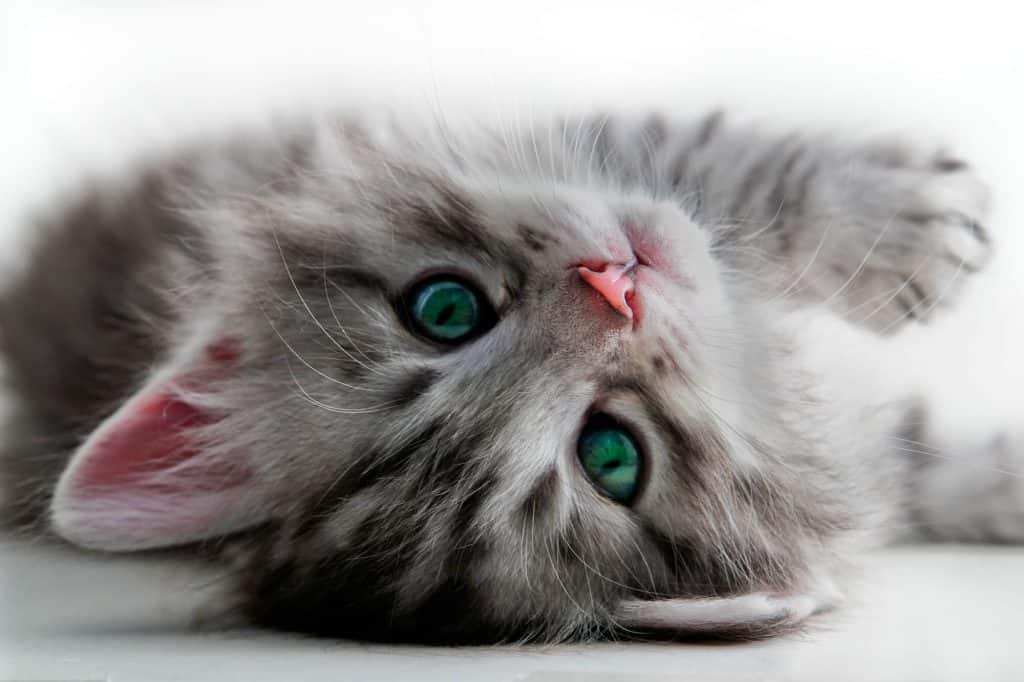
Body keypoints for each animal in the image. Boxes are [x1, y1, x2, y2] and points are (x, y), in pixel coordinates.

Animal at [0, 111, 1007, 643]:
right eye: (610, 456)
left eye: (444, 309)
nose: (615, 289)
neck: (761, 357)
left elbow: (713, 163)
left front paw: (894, 217)